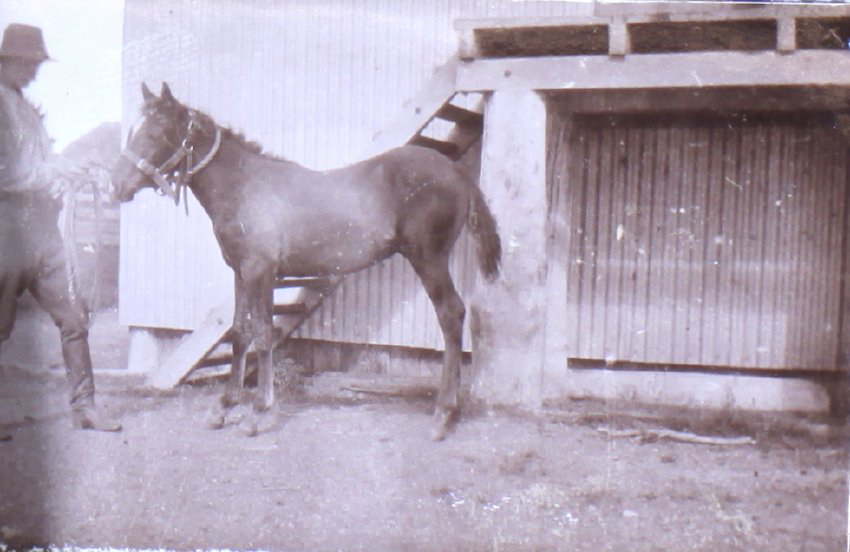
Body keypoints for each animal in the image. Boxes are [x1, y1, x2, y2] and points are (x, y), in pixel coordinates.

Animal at [112, 82, 501, 440]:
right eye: (131, 131)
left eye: (156, 132)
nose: (115, 187)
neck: (244, 187)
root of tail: (456, 173)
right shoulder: (241, 273)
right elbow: (239, 333)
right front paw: (223, 407)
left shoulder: (261, 273)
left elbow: (263, 334)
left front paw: (259, 412)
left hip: (428, 258)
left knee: (451, 314)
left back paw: (443, 414)